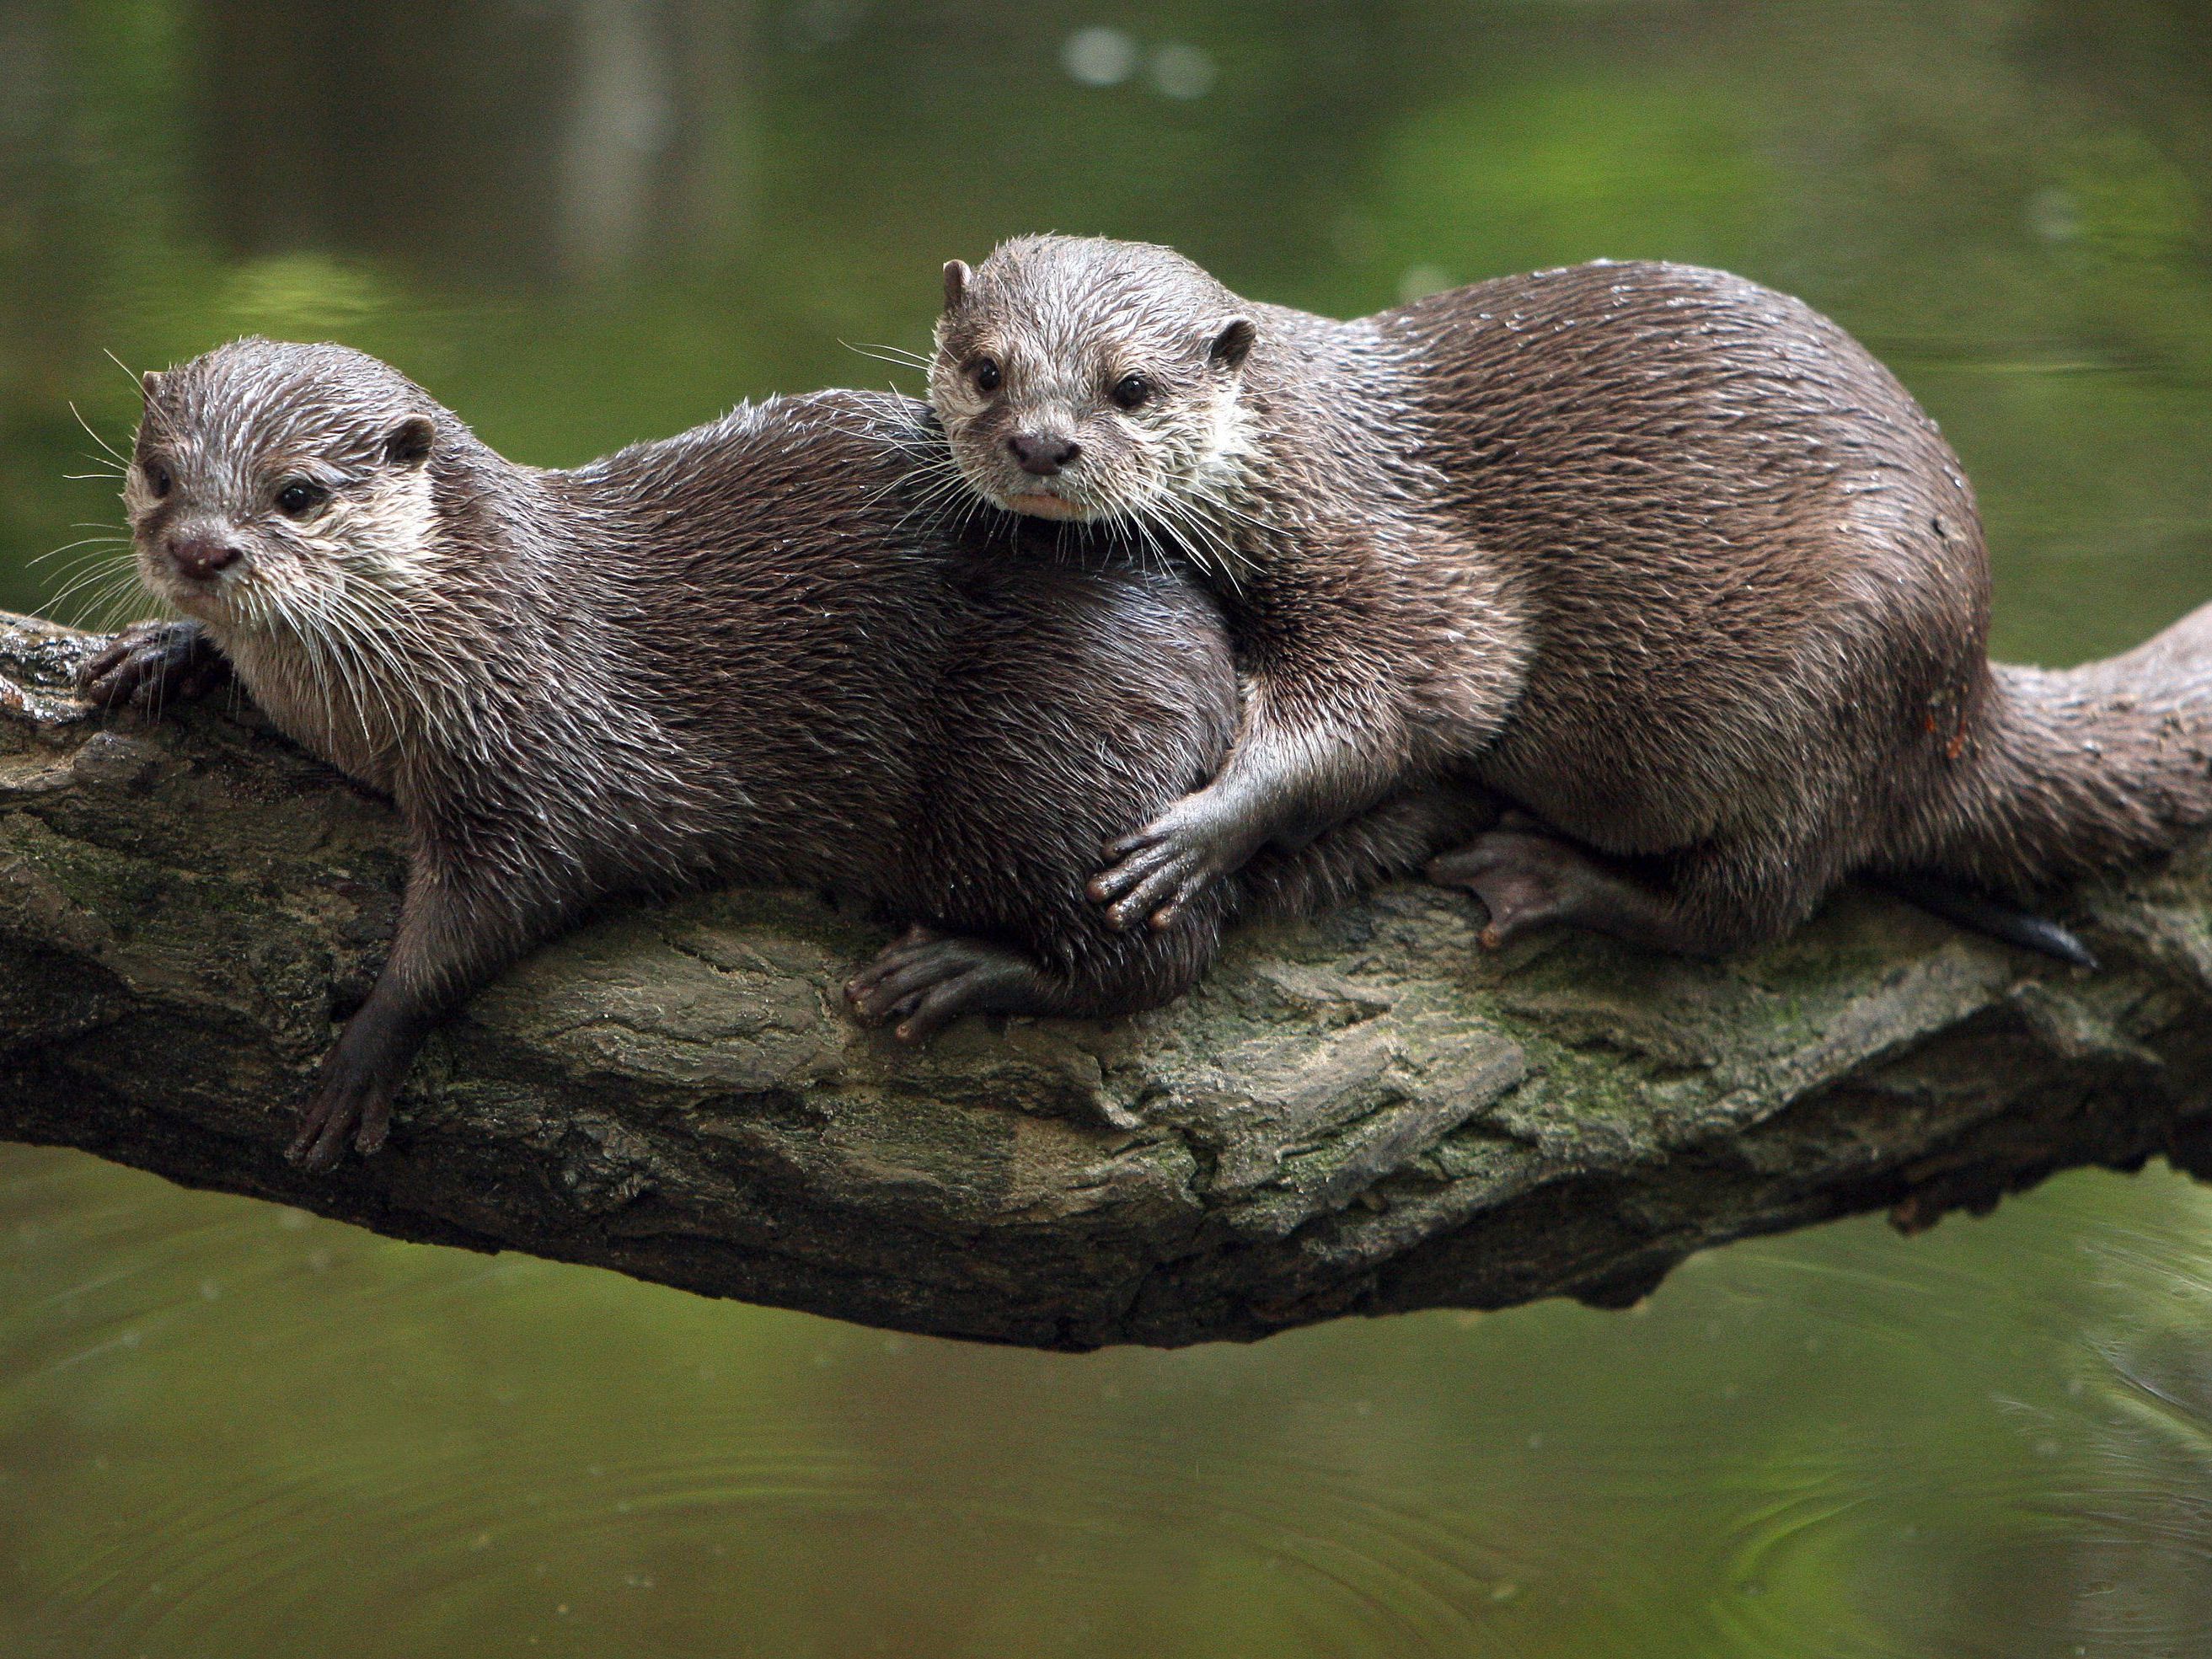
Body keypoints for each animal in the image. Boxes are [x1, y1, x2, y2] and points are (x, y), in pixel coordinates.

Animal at [82, 334, 1486, 1168]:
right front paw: (162, 652)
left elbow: (490, 909)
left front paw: (373, 1037)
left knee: (1160, 950)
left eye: (299, 494)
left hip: (1047, 766)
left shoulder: (537, 748)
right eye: (159, 474)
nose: (200, 551)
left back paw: (961, 972)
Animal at [924, 238, 2212, 955]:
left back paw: (1548, 879)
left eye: (1131, 388)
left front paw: (1199, 832)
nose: (1040, 444)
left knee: (1743, 912)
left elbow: (1404, 705)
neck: (1303, 455)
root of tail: (1972, 686)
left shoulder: (1409, 576)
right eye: (986, 369)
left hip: (1847, 675)